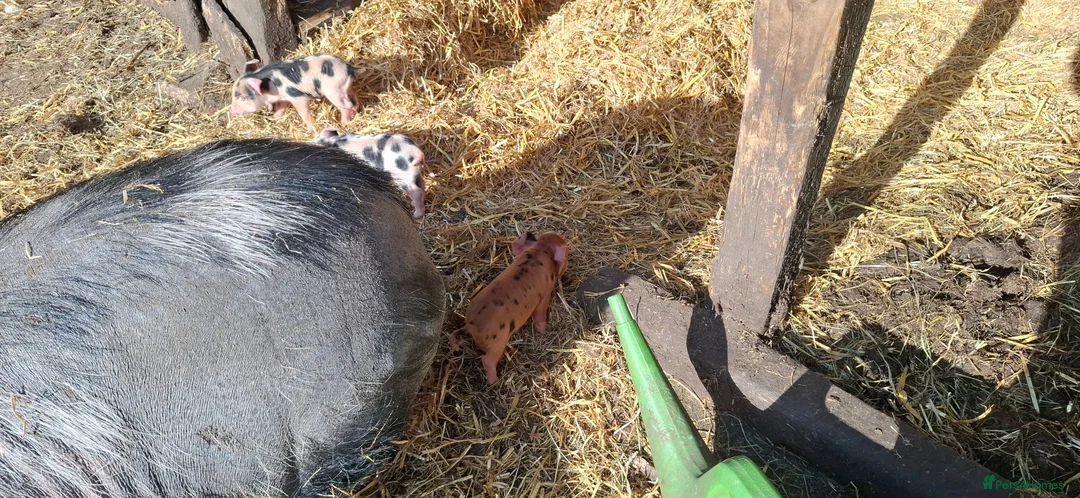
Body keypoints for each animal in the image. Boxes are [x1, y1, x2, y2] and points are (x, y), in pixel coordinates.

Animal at [229, 54, 359, 131]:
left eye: (243, 98)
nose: (231, 110)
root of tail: (349, 69)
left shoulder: (297, 96)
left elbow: (303, 113)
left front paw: (311, 129)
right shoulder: (285, 97)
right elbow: (281, 108)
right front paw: (274, 118)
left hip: (334, 90)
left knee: (346, 105)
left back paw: (343, 124)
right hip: (343, 88)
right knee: (353, 99)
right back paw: (354, 114)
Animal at [448, 232, 570, 384]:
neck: (540, 250)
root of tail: (470, 326)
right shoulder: (545, 293)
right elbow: (540, 313)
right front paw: (544, 330)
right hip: (498, 342)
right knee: (487, 360)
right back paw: (496, 382)